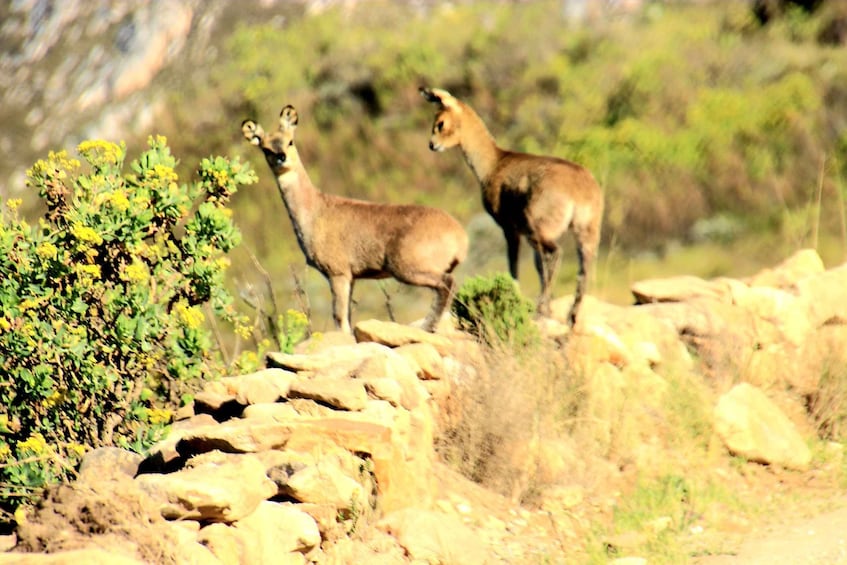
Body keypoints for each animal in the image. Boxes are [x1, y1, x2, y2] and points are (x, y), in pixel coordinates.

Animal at [242, 105, 470, 332]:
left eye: (290, 140)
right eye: (265, 148)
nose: (281, 157)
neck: (315, 211)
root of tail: (461, 237)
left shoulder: (338, 271)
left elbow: (340, 317)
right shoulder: (351, 277)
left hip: (407, 267)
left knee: (447, 283)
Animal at [420, 86, 604, 328]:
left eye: (440, 122)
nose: (432, 145)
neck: (494, 163)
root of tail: (580, 189)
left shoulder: (509, 229)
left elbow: (513, 266)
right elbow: (536, 267)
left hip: (540, 230)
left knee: (555, 254)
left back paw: (541, 311)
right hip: (586, 233)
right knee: (582, 267)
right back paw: (570, 317)